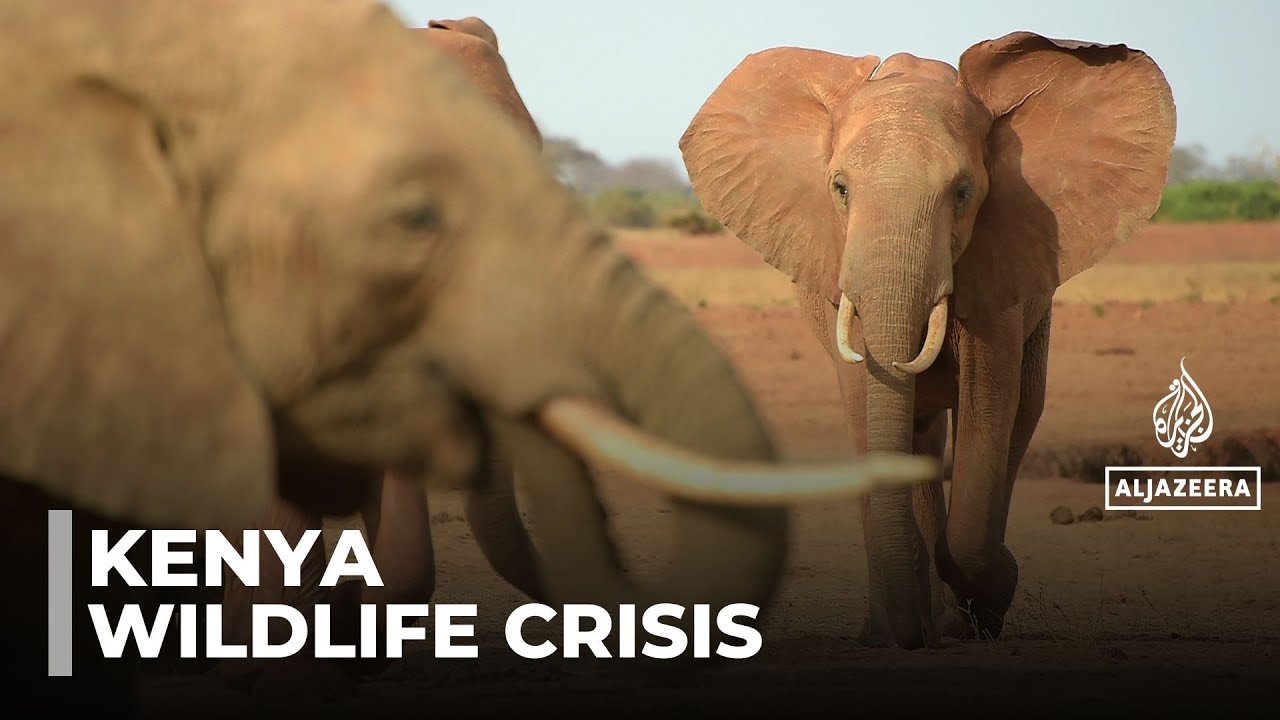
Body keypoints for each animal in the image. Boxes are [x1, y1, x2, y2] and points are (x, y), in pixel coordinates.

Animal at [679, 31, 1176, 649]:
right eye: (840, 189)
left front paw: (988, 596)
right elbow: (870, 404)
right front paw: (898, 630)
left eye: (963, 192)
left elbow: (988, 403)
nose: (907, 634)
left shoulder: (1000, 266)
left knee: (1021, 412)